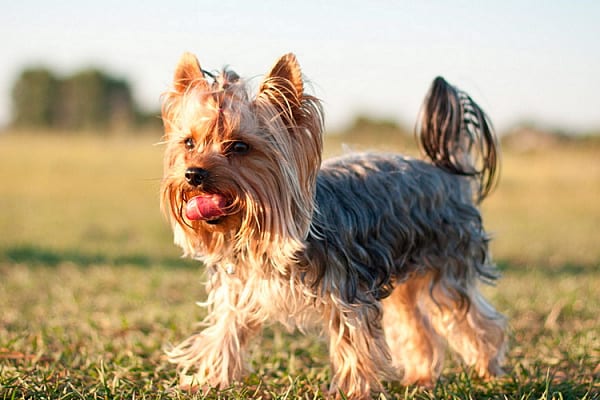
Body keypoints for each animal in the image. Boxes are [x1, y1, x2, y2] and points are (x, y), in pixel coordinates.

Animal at [159, 52, 506, 396]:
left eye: (240, 146)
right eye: (189, 143)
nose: (193, 174)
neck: (261, 235)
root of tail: (446, 172)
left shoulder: (348, 296)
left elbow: (353, 346)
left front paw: (349, 392)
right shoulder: (239, 291)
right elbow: (224, 334)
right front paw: (206, 381)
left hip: (447, 265)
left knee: (472, 320)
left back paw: (488, 372)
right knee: (414, 324)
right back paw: (420, 377)